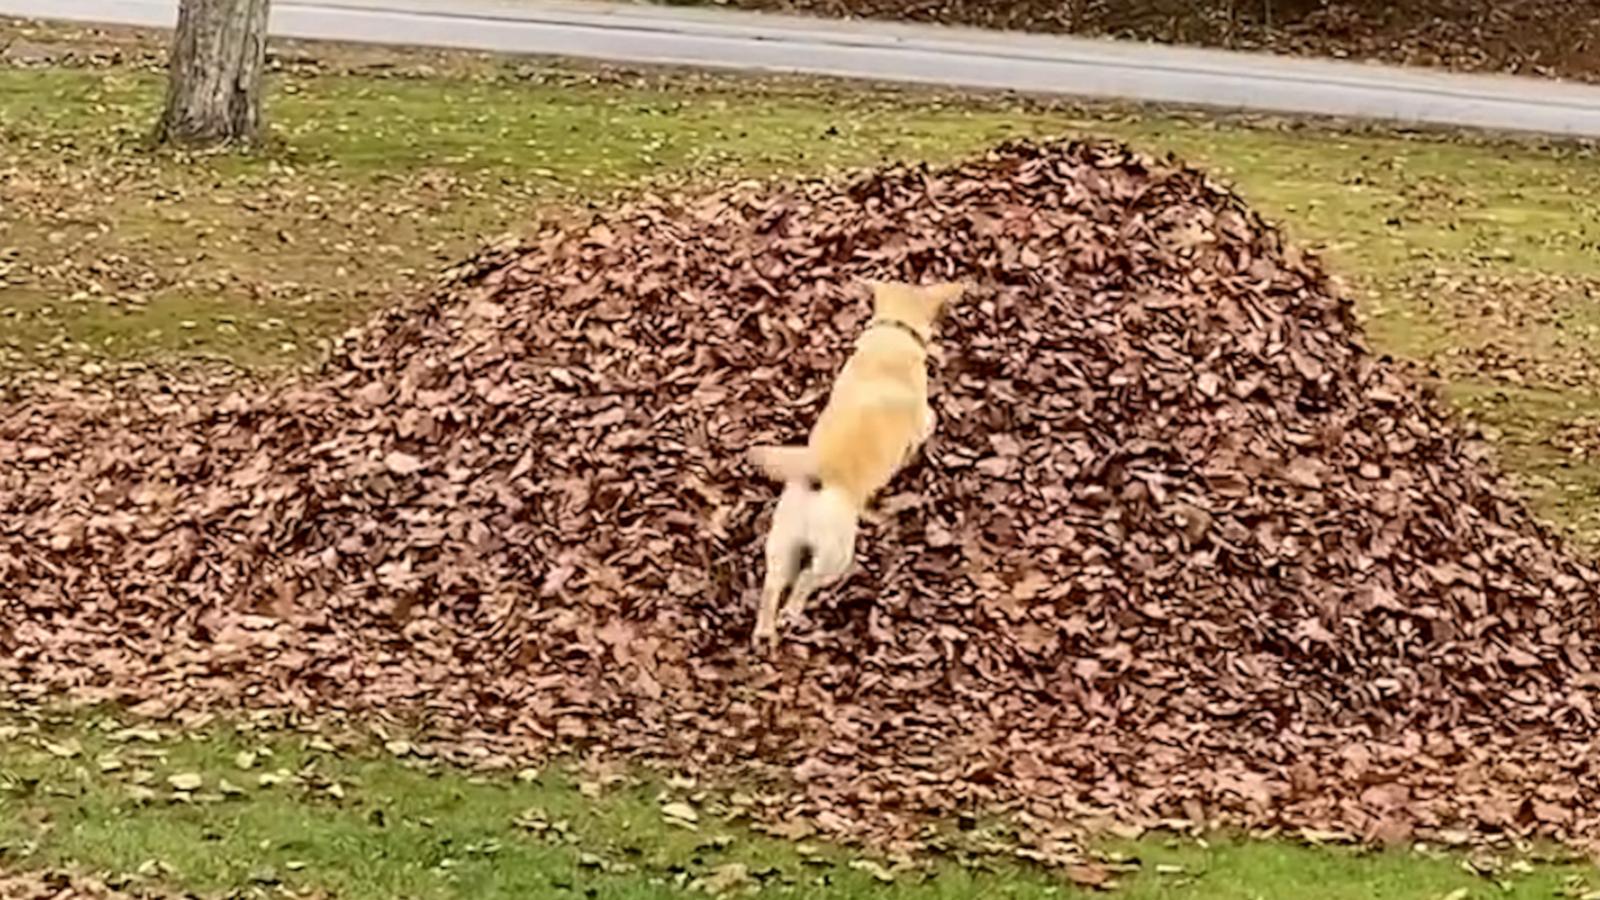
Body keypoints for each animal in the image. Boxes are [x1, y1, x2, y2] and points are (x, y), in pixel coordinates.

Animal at [748, 278, 960, 643]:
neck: (892, 335)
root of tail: (818, 477)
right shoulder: (922, 420)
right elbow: (929, 422)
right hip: (835, 555)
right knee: (805, 582)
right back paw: (792, 614)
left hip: (782, 544)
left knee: (773, 587)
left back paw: (765, 632)